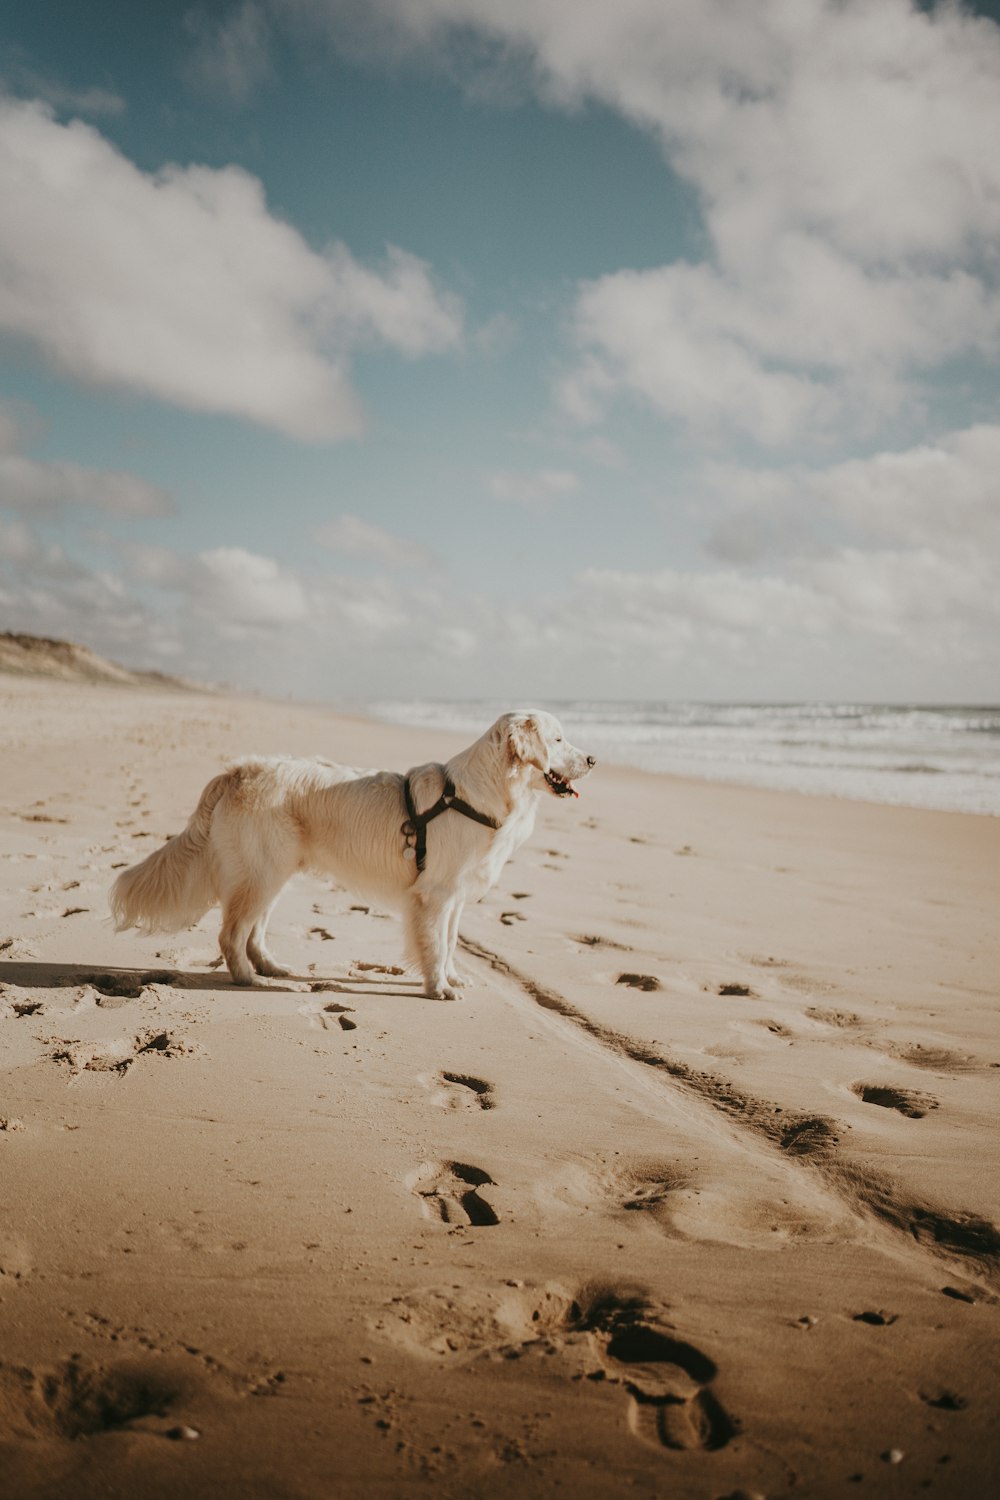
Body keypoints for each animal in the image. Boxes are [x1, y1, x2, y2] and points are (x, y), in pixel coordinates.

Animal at [109, 711, 593, 996]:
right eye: (558, 740)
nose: (592, 760)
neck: (476, 794)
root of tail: (238, 770)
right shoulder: (434, 896)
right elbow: (435, 945)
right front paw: (439, 987)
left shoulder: (455, 897)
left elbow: (451, 941)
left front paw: (455, 976)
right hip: (261, 873)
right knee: (231, 935)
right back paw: (248, 978)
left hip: (272, 873)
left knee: (253, 932)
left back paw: (272, 968)